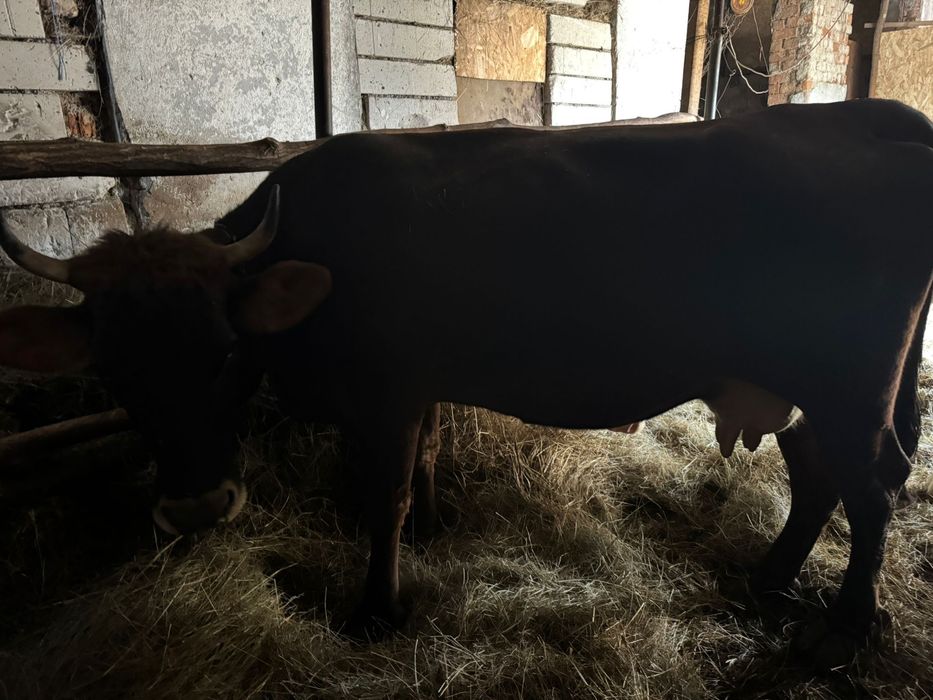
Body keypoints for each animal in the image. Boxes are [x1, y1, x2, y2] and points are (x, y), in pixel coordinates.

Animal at [0, 99, 930, 668]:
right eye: (115, 371)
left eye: (227, 352)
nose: (196, 510)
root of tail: (866, 120)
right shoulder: (422, 388)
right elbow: (427, 461)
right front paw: (434, 529)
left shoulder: (384, 392)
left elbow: (382, 494)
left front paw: (377, 607)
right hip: (796, 387)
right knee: (817, 476)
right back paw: (770, 578)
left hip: (850, 387)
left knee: (873, 486)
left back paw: (843, 627)